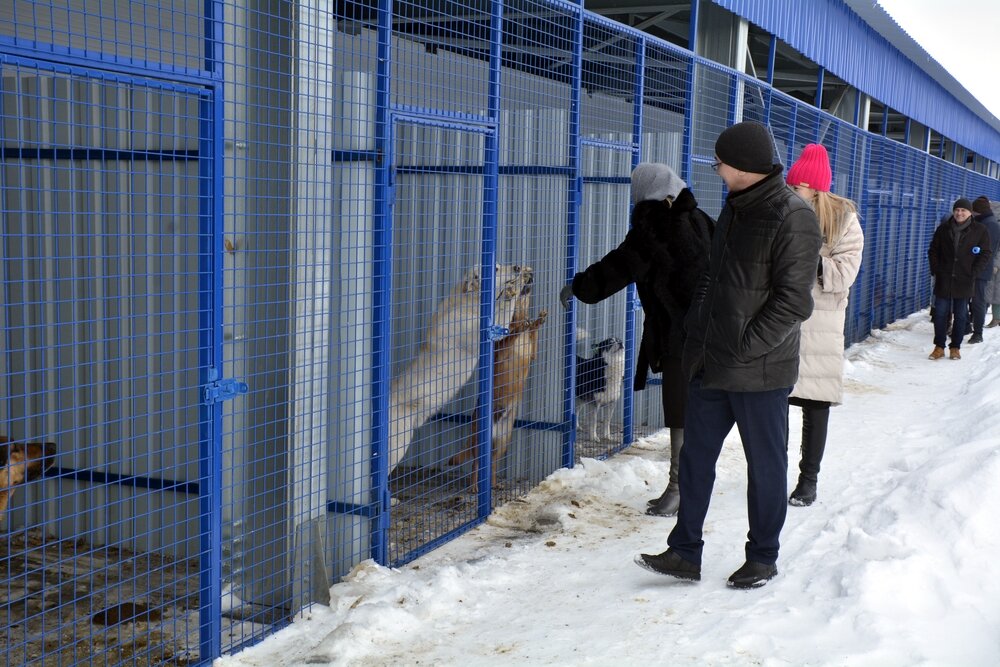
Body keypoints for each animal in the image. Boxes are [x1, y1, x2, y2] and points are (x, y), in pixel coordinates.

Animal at [388, 264, 536, 478]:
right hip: (397, 444)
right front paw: (512, 290)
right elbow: (501, 313)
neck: (467, 299)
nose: (517, 267)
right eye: (495, 269)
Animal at [452, 284, 548, 488]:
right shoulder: (502, 349)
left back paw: (494, 484)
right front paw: (521, 326)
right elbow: (512, 333)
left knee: (493, 464)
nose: (531, 280)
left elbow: (533, 332)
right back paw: (474, 486)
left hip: (503, 442)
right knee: (476, 464)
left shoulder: (533, 354)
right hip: (480, 440)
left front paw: (537, 321)